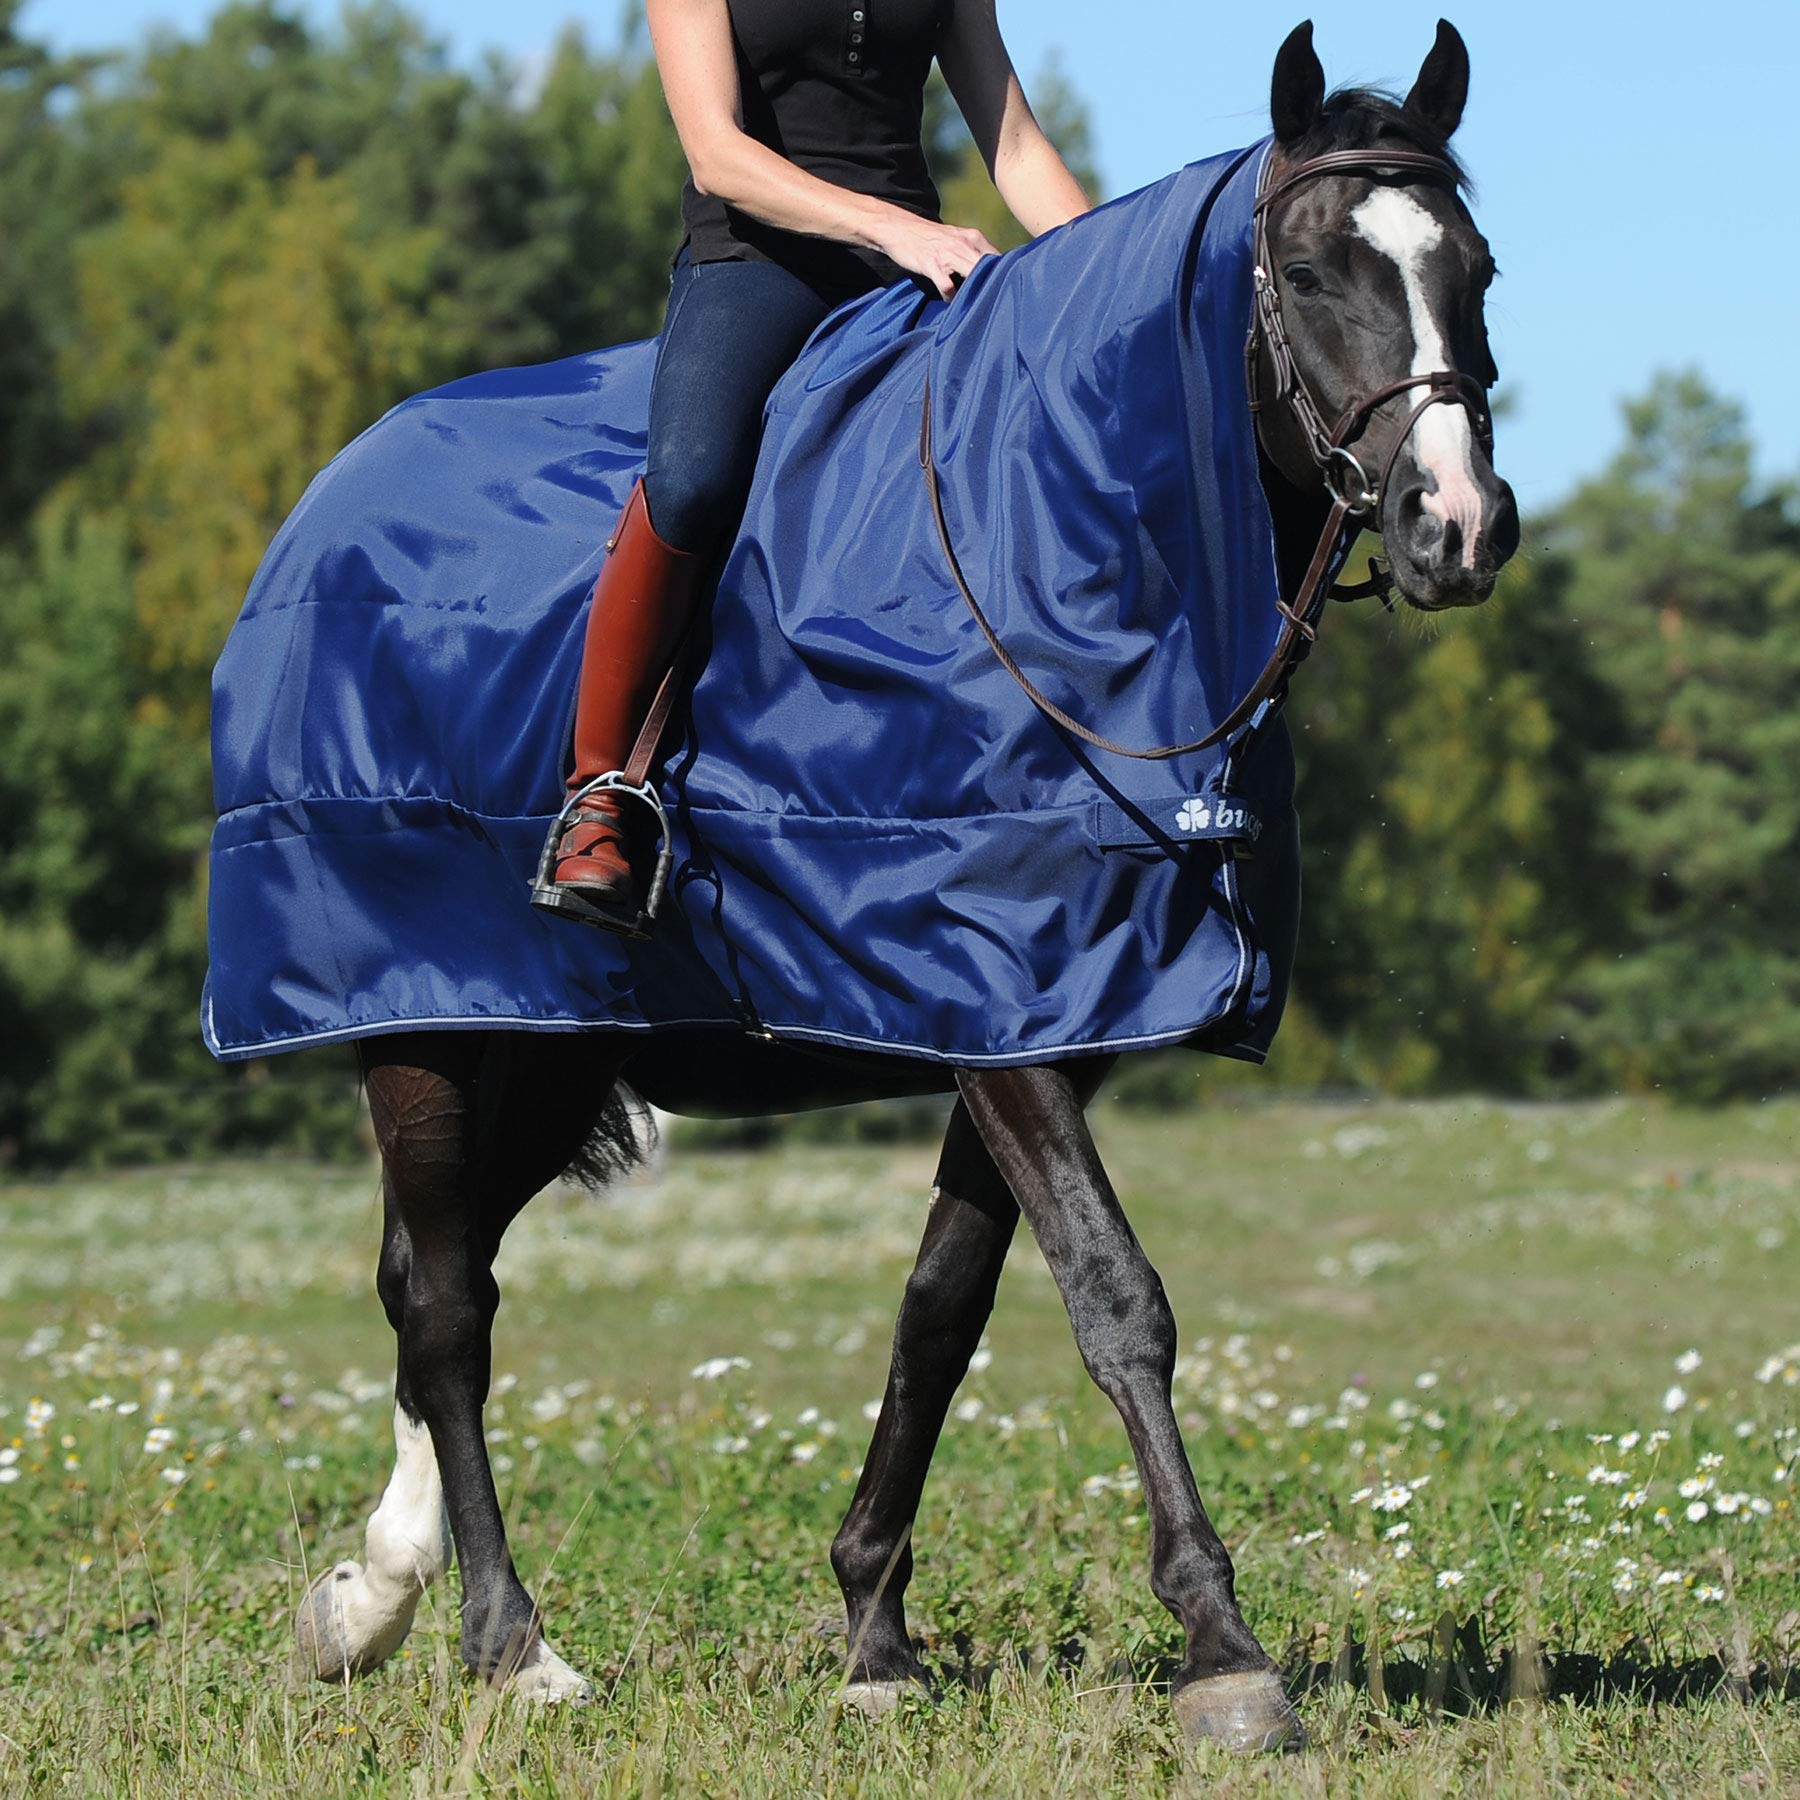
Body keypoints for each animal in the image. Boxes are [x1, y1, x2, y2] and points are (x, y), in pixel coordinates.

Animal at [288, 20, 1517, 1755]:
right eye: (1303, 265)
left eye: (1473, 267)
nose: (1456, 524)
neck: (1057, 548)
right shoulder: (998, 1013)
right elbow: (1117, 1298)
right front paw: (1223, 1649)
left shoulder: (1031, 1019)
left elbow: (943, 1310)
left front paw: (873, 1626)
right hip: (422, 1033)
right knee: (450, 1310)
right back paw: (509, 1642)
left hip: (540, 1051)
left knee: (426, 1276)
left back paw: (372, 1598)